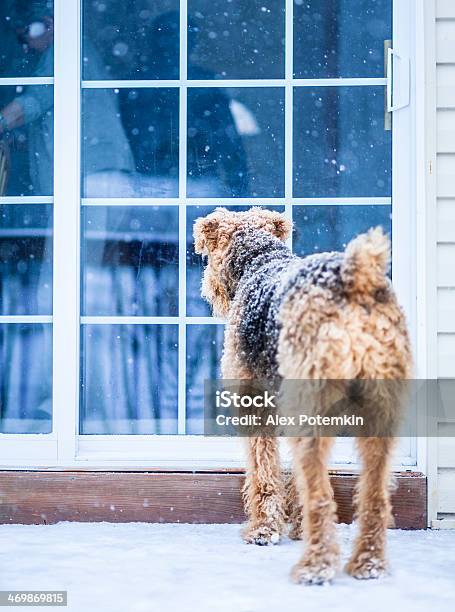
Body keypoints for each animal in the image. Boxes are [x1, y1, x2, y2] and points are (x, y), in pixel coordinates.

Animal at [194, 208, 416, 584]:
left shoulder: (255, 404)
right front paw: (297, 527)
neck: (259, 259)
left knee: (322, 494)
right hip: (379, 410)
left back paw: (315, 566)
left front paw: (264, 530)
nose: (210, 289)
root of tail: (355, 282)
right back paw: (368, 563)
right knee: (374, 495)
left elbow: (264, 470)